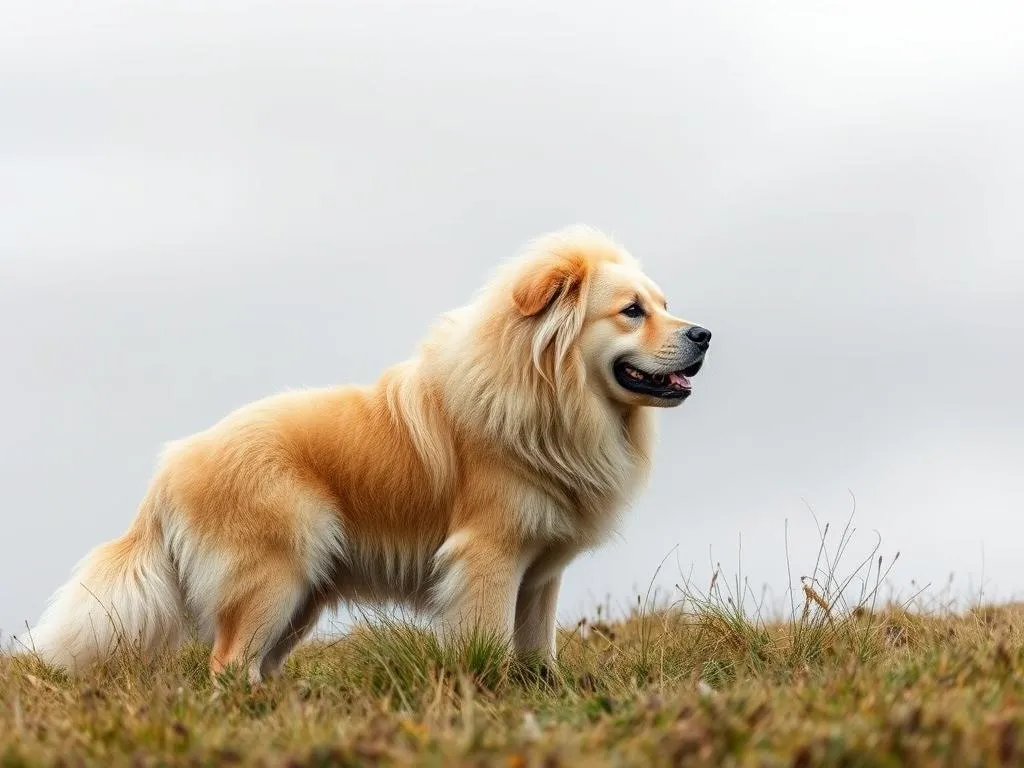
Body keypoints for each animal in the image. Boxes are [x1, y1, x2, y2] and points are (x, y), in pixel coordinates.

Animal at [24, 225, 712, 684]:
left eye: (664, 305)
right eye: (631, 312)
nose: (704, 334)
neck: (543, 392)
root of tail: (169, 468)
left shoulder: (539, 575)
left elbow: (538, 649)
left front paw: (544, 694)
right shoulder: (486, 557)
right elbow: (489, 642)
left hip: (297, 601)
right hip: (272, 580)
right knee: (226, 665)